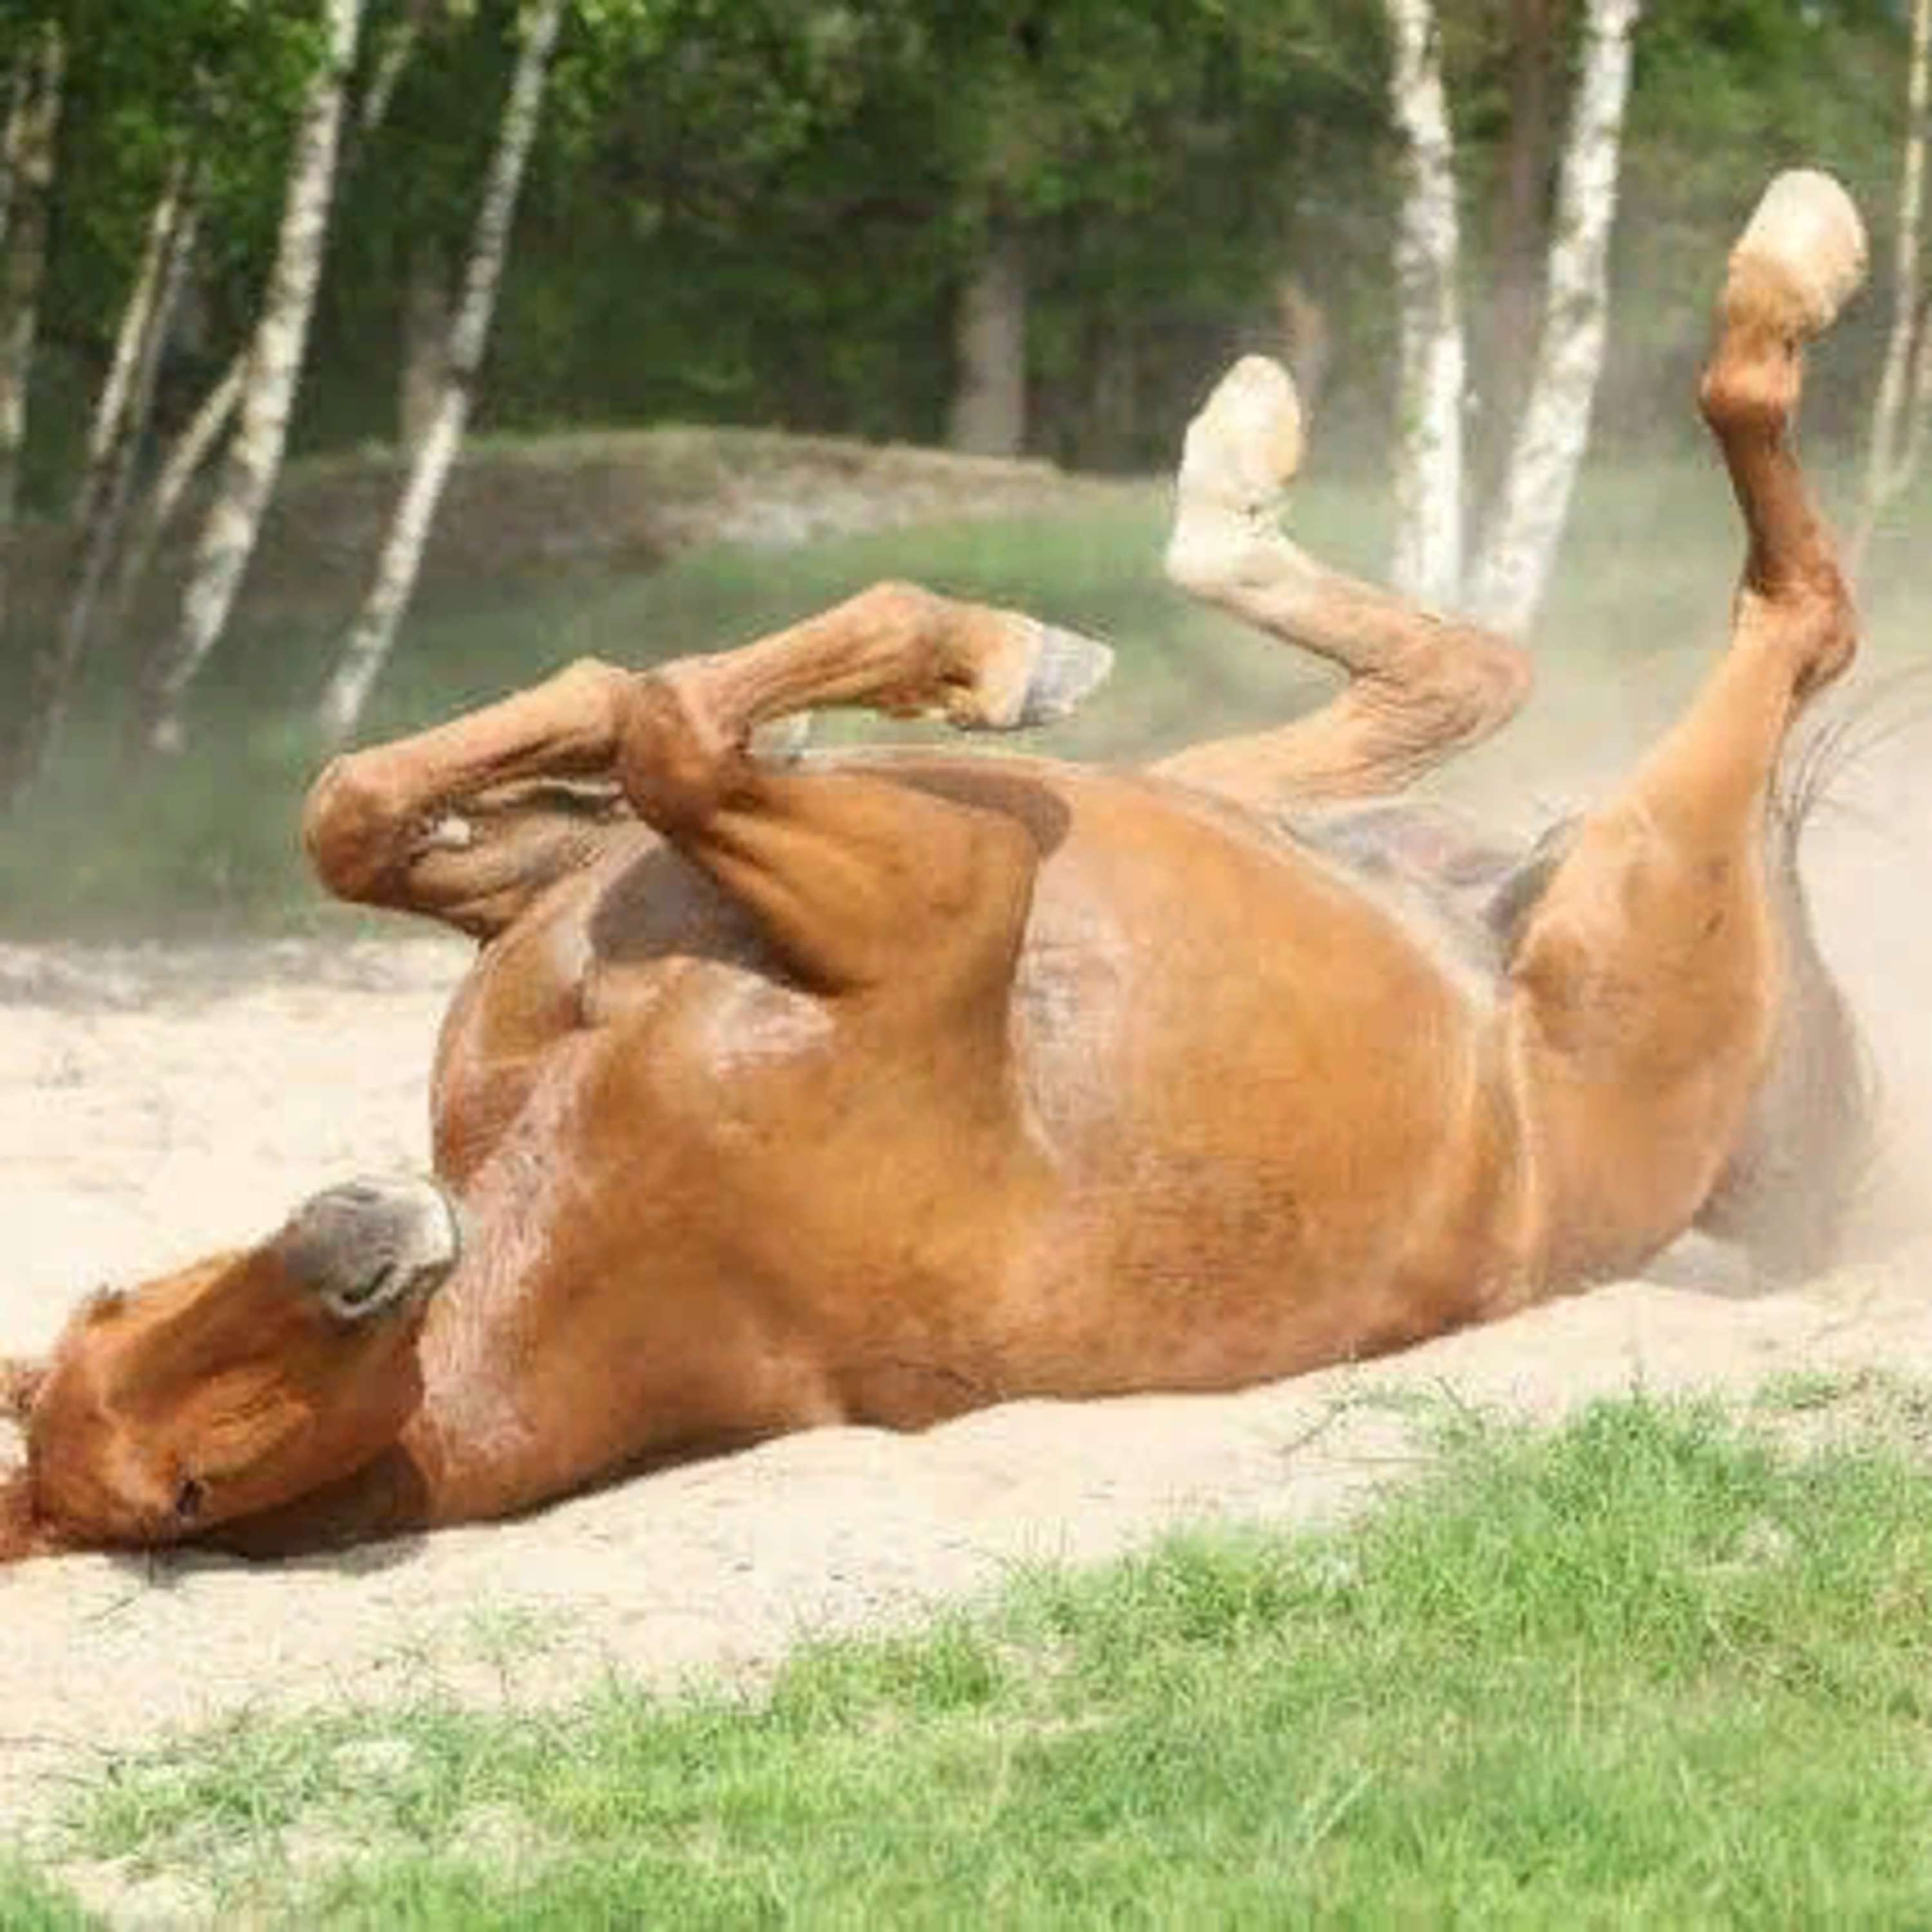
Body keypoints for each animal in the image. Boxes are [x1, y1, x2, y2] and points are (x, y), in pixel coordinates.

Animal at [0, 170, 1876, 1562]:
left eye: (111, 1294)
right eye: (194, 1480)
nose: (363, 1231)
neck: (589, 1183)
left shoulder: (602, 881)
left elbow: (407, 790)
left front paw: (951, 666)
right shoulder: (948, 888)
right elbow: (671, 726)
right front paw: (978, 650)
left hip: (1205, 797)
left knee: (1471, 668)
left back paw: (1235, 473)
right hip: (1638, 879)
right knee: (1794, 612)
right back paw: (1788, 266)